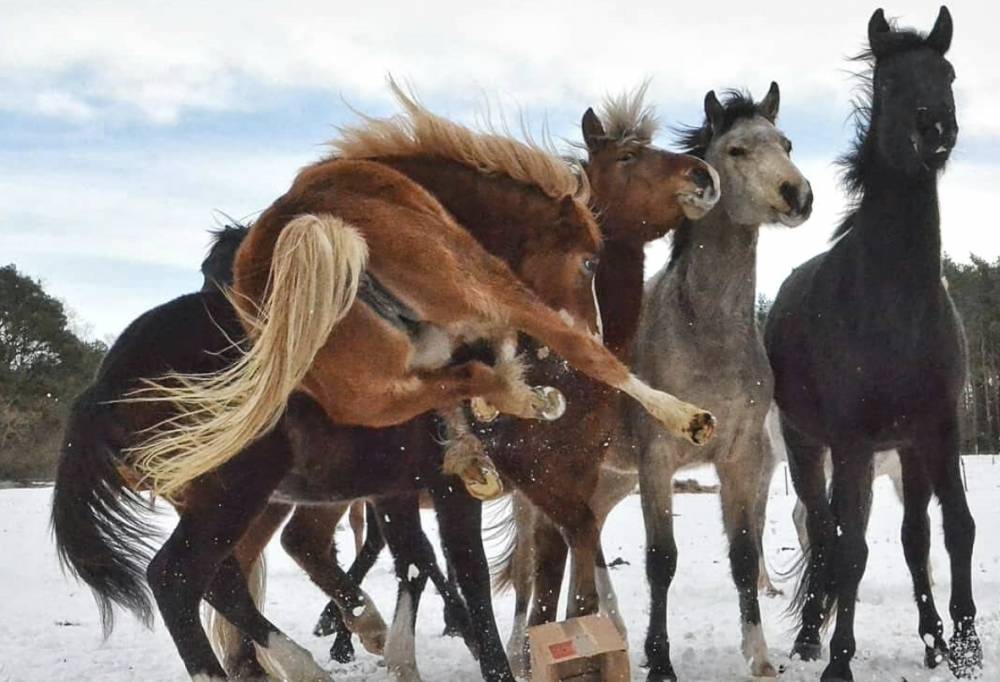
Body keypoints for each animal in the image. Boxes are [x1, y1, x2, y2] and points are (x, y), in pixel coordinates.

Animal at [628, 81, 816, 680]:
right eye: (736, 150)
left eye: (787, 143)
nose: (797, 194)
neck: (704, 333)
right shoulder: (656, 460)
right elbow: (661, 560)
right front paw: (660, 662)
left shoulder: (739, 458)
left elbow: (742, 554)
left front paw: (759, 654)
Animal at [764, 6, 984, 680]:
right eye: (889, 82)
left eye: (948, 73)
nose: (936, 128)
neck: (896, 307)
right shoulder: (854, 442)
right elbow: (851, 548)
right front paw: (838, 659)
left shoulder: (936, 430)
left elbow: (954, 529)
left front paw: (963, 646)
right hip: (808, 448)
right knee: (824, 532)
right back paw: (809, 637)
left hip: (903, 452)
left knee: (911, 536)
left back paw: (931, 638)